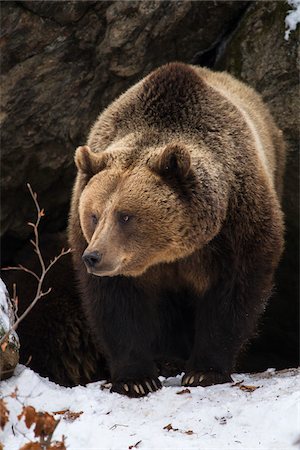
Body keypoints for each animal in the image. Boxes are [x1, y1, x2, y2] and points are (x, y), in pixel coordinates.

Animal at [68, 62, 286, 398]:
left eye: (125, 215)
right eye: (93, 214)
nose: (94, 257)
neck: (172, 250)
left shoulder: (237, 225)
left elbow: (234, 293)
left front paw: (204, 371)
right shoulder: (101, 250)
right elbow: (116, 304)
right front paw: (135, 378)